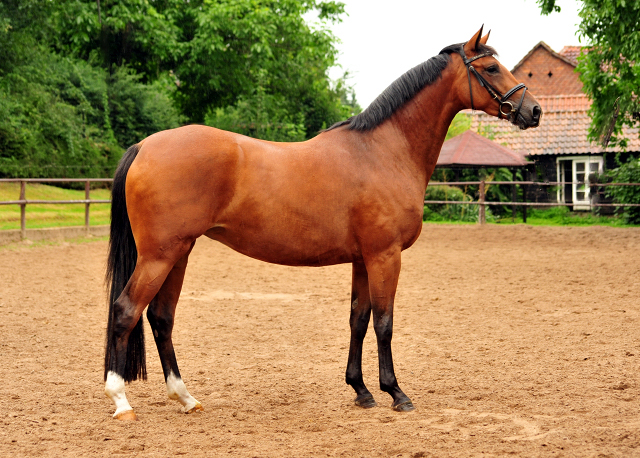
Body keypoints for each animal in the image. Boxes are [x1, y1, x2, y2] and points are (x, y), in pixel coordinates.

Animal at [104, 26, 540, 420]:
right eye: (491, 67)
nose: (533, 110)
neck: (383, 150)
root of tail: (145, 146)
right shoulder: (385, 256)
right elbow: (384, 322)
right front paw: (395, 392)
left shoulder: (363, 259)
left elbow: (358, 320)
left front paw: (361, 390)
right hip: (160, 255)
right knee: (126, 310)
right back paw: (121, 402)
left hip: (179, 252)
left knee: (161, 317)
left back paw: (186, 397)